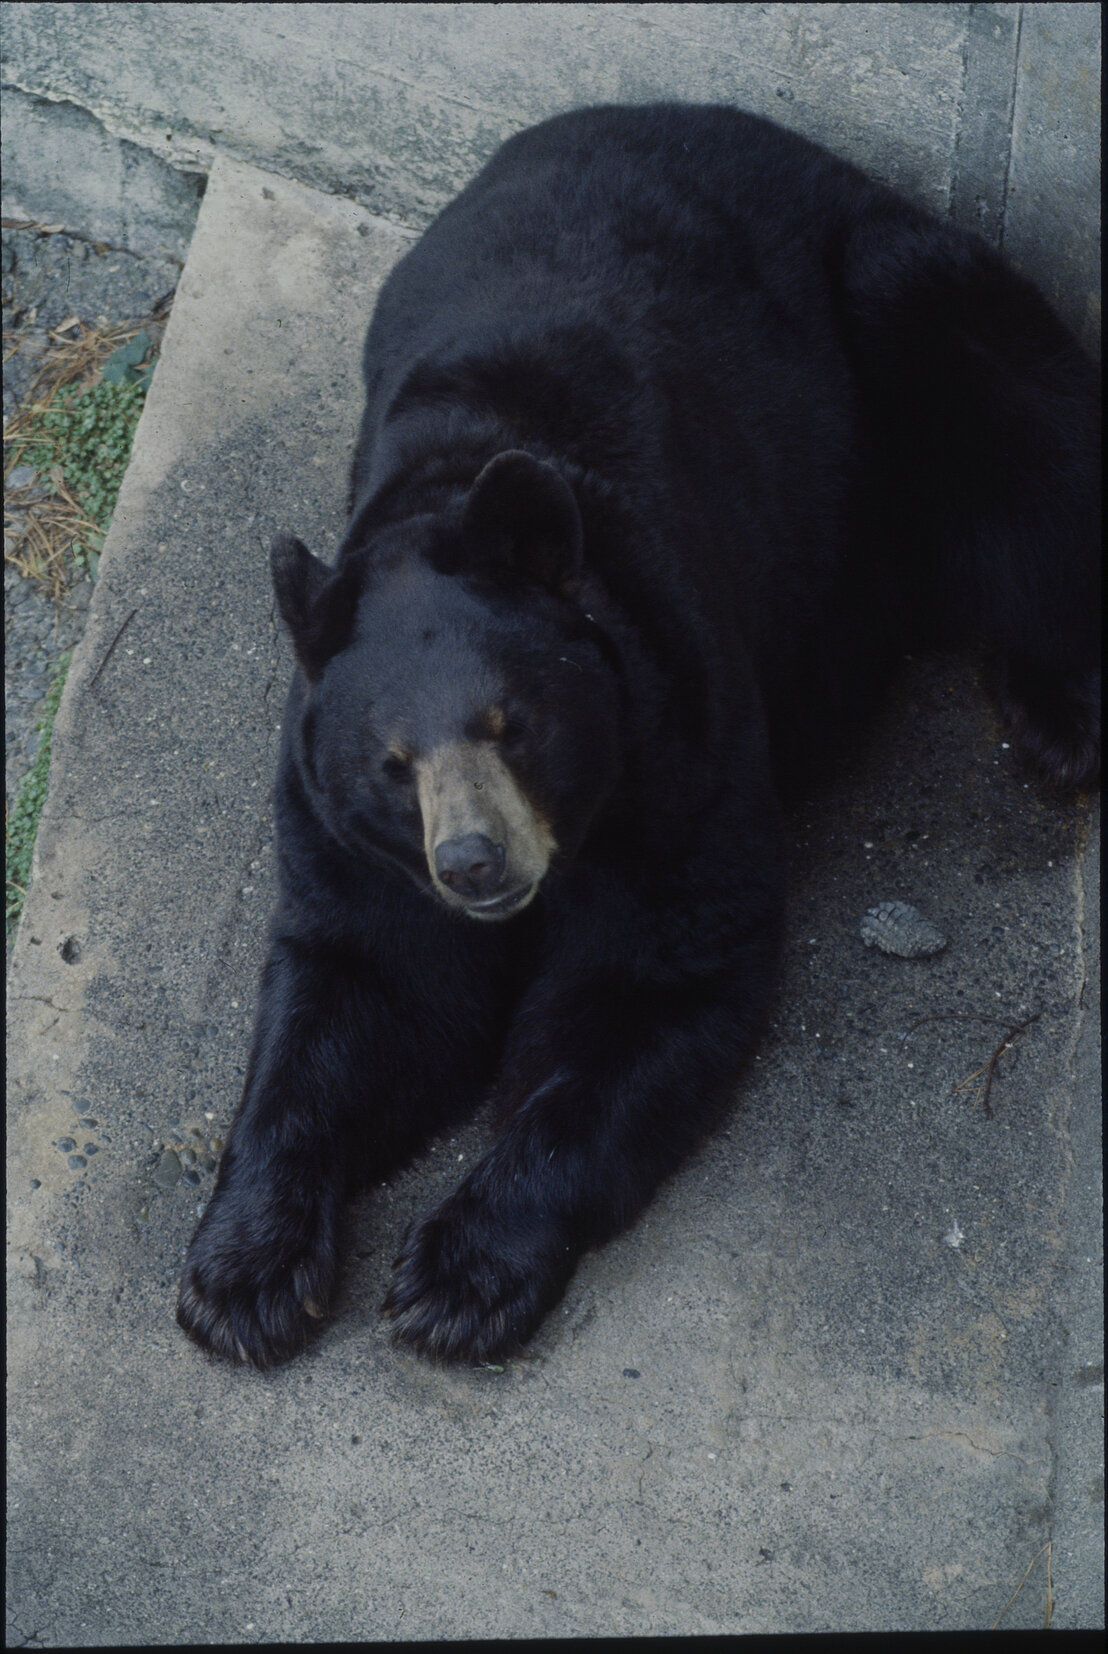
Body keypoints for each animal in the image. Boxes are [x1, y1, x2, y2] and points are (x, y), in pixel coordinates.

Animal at [177, 103, 1100, 1368]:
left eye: (513, 722)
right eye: (393, 764)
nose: (476, 863)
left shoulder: (683, 753)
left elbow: (642, 990)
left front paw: (459, 1277)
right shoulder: (336, 828)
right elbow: (363, 997)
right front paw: (243, 1273)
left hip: (914, 308)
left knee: (1027, 472)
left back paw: (1062, 719)